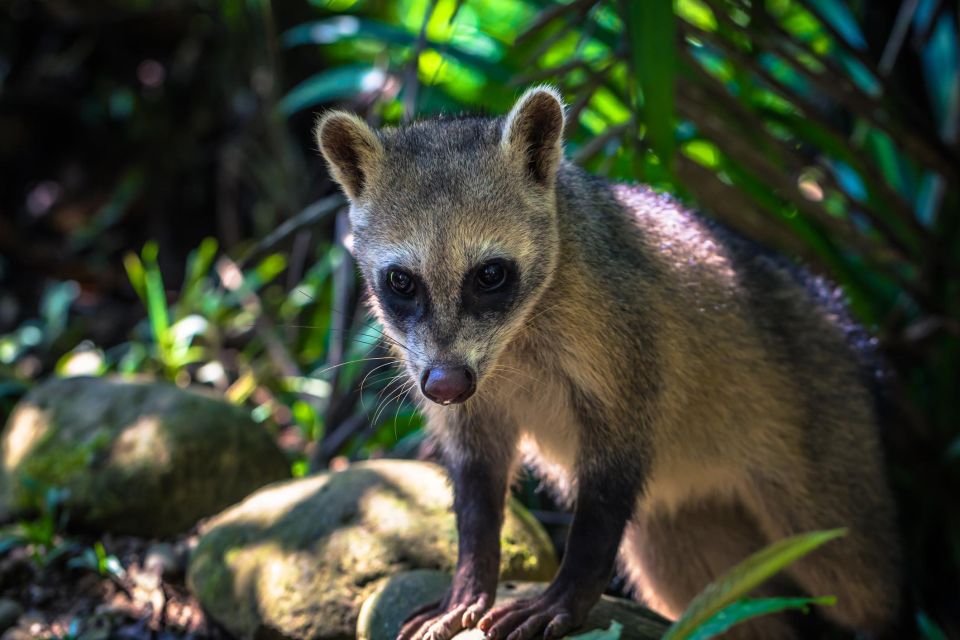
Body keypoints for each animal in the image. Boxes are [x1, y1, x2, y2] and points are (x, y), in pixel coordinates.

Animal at [316, 86, 900, 640]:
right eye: (401, 281)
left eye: (489, 274)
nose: (445, 385)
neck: (512, 341)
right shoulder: (450, 381)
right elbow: (477, 482)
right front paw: (471, 576)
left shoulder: (625, 342)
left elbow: (608, 485)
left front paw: (572, 588)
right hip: (688, 521)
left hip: (825, 454)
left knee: (853, 572)